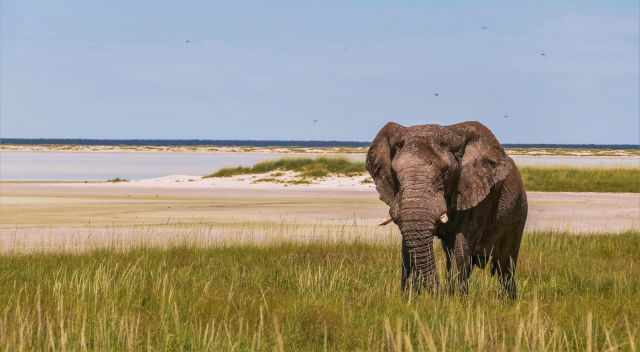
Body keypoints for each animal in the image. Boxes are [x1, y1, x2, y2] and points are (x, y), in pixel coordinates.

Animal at [368, 120, 528, 296]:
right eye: (395, 174)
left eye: (445, 173)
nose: (437, 292)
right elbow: (407, 249)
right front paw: (409, 298)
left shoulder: (477, 199)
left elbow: (460, 249)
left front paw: (454, 299)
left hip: (518, 213)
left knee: (505, 266)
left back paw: (508, 299)